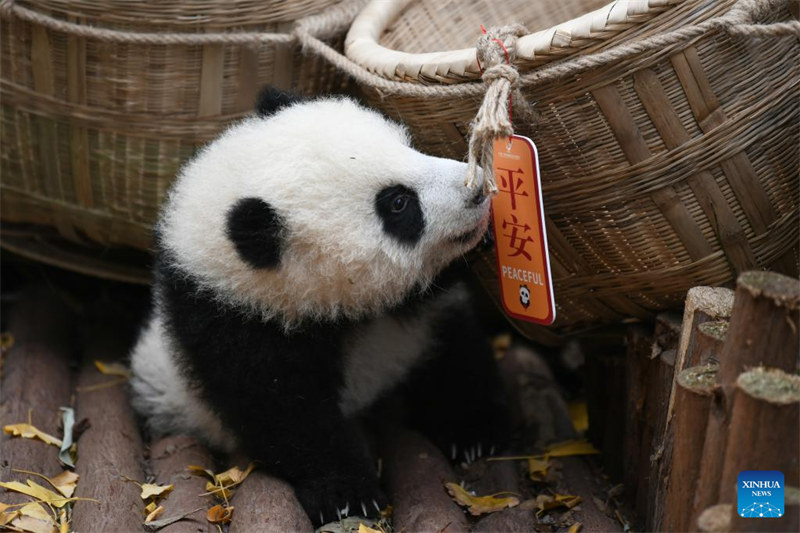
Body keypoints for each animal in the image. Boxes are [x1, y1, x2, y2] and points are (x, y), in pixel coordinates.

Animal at [130, 87, 509, 525]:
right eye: (398, 203)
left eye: (409, 146)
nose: (477, 189)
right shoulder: (236, 326)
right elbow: (286, 415)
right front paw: (347, 494)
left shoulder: (423, 305)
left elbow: (456, 346)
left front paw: (473, 429)